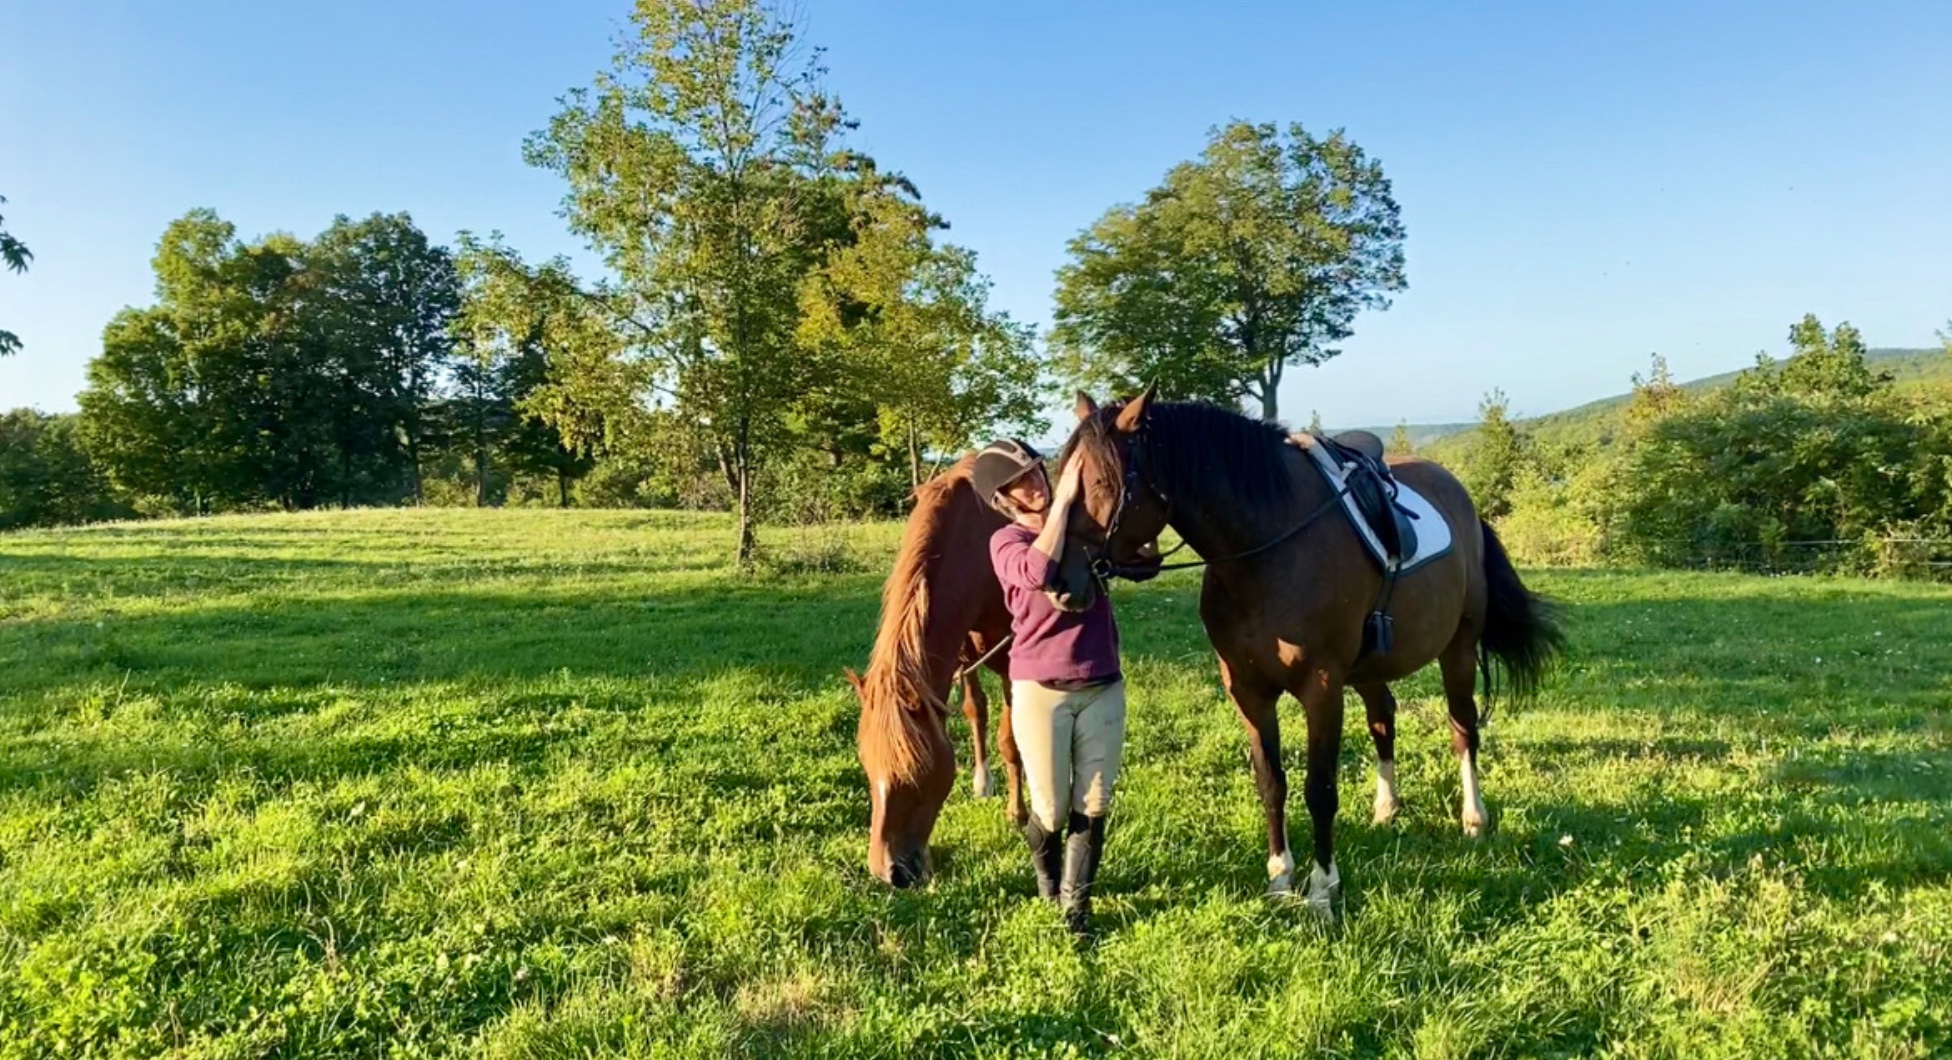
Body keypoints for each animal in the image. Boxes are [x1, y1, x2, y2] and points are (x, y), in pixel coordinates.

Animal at [1061, 394, 1561, 917]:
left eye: (1101, 482)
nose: (1058, 579)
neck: (1265, 552)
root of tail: (1459, 496)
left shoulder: (1321, 688)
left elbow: (1319, 790)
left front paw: (1323, 890)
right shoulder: (1248, 691)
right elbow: (1271, 782)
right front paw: (1281, 878)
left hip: (1458, 650)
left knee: (1463, 730)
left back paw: (1474, 819)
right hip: (1370, 667)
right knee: (1384, 720)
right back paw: (1387, 808)